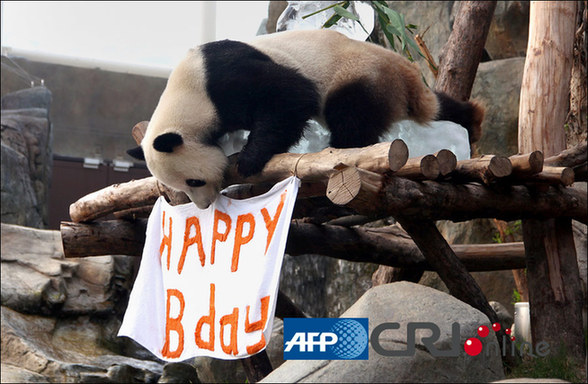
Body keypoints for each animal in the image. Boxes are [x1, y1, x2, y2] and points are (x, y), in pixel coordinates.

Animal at [130, 29, 486, 210]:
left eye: (194, 182)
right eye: (186, 187)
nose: (203, 206)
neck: (186, 97)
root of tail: (405, 78)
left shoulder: (223, 79)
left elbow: (290, 95)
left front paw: (249, 159)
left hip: (357, 74)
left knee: (349, 117)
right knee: (437, 107)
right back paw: (472, 118)